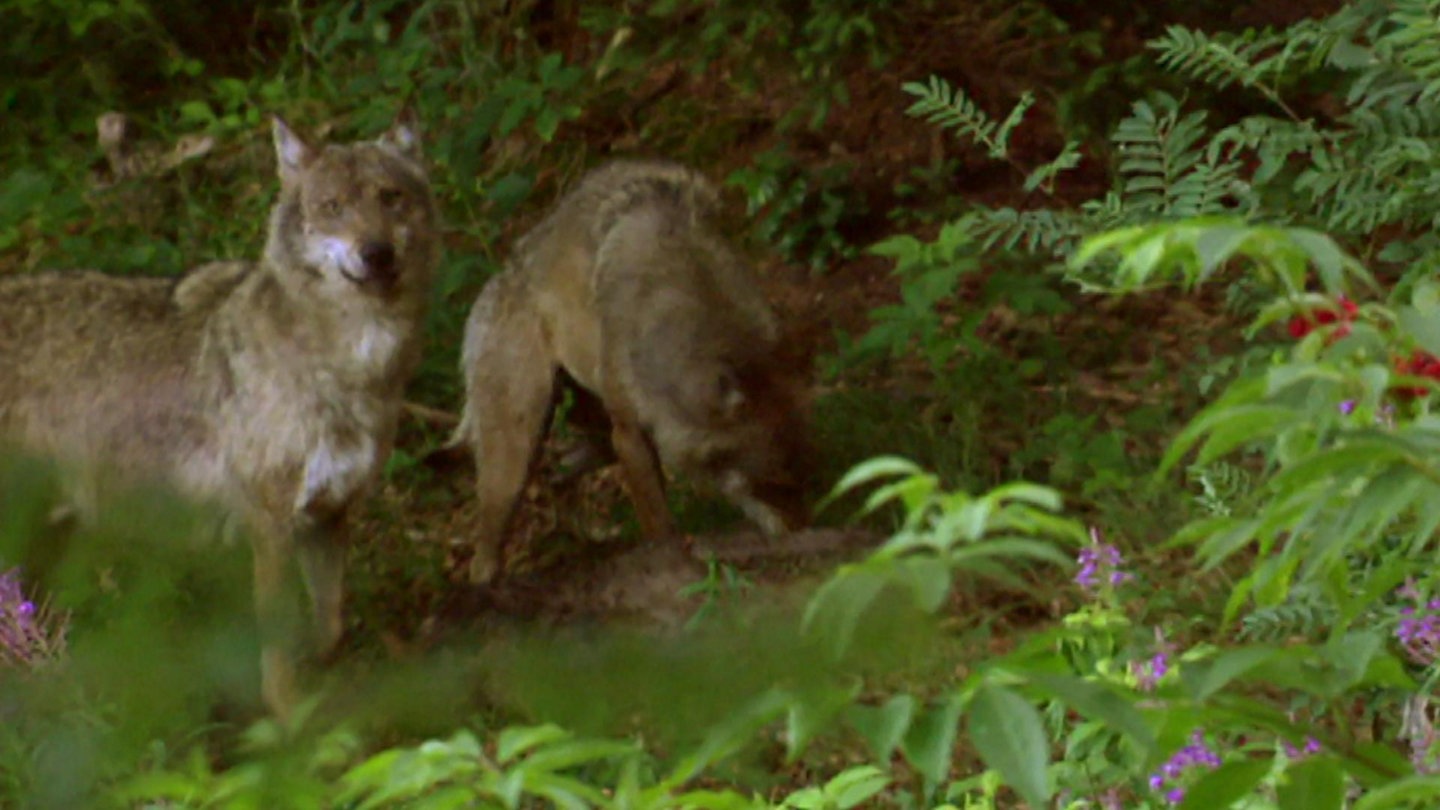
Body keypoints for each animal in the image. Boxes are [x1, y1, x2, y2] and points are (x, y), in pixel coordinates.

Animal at [0, 111, 439, 716]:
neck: (351, 364)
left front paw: (320, 676)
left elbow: (330, 628)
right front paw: (289, 718)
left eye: (390, 197)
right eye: (332, 206)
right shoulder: (269, 522)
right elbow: (276, 645)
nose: (376, 253)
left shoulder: (329, 514)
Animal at [454, 159, 811, 584]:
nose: (809, 529)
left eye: (806, 470)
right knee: (485, 548)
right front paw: (671, 565)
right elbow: (659, 522)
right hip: (516, 454)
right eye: (775, 483)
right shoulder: (629, 434)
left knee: (576, 460)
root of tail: (493, 284)